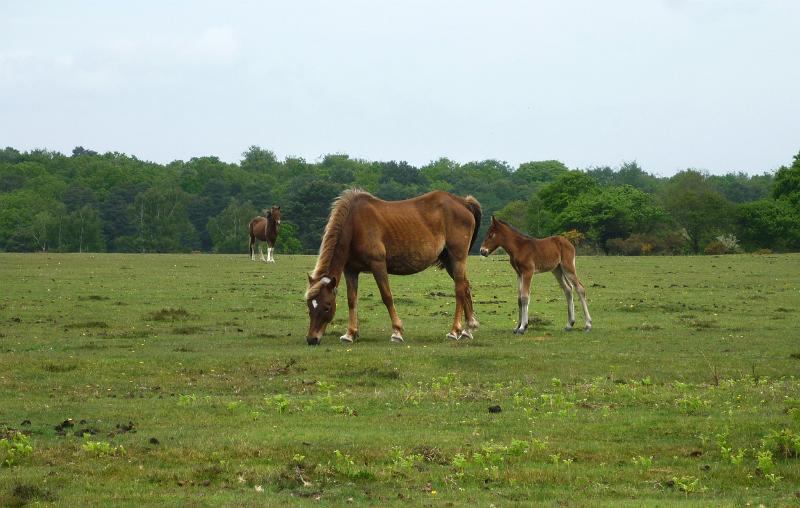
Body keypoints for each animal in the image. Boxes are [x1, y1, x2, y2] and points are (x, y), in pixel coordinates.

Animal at [305, 189, 482, 345]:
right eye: (309, 306)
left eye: (327, 306)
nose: (312, 339)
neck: (355, 225)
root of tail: (463, 202)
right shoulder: (351, 270)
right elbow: (351, 300)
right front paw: (350, 333)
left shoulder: (378, 265)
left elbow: (387, 297)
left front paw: (397, 332)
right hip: (449, 260)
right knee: (465, 286)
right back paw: (468, 329)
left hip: (457, 258)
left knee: (459, 290)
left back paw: (455, 330)